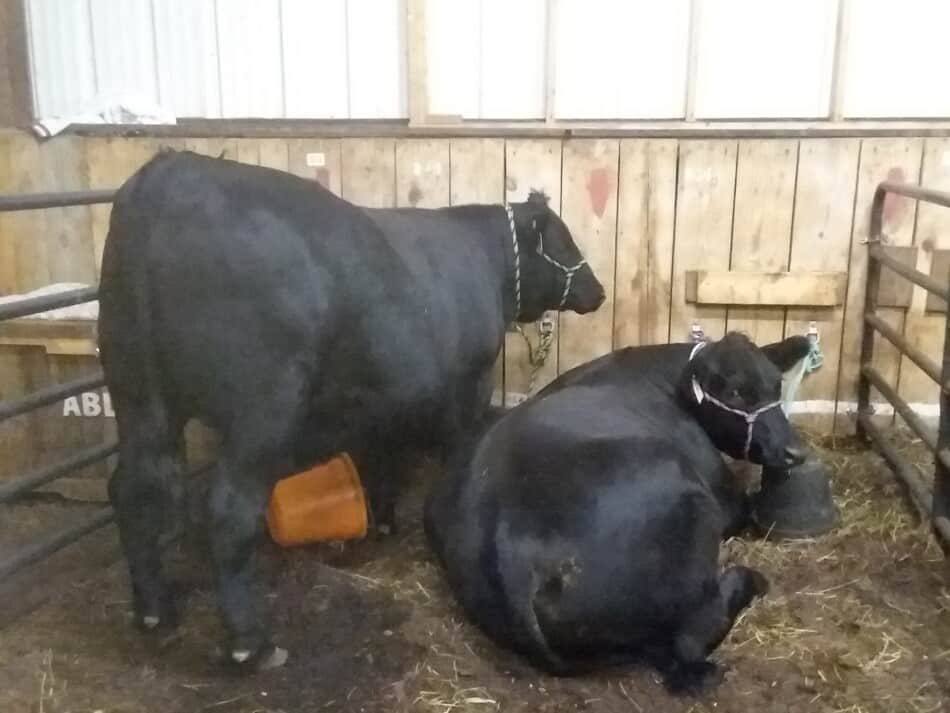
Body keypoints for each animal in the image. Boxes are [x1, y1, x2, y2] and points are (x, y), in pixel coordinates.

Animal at [96, 150, 604, 668]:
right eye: (564, 240)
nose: (598, 290)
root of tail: (171, 171)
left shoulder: (388, 395)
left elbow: (384, 454)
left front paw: (383, 521)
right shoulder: (469, 382)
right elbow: (455, 450)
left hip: (136, 392)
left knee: (130, 489)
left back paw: (154, 610)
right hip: (260, 411)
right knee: (230, 512)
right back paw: (251, 644)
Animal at [428, 332, 816, 688]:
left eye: (776, 385)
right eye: (735, 392)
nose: (794, 452)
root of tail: (513, 550)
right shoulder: (723, 494)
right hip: (696, 509)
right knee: (688, 644)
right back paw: (748, 580)